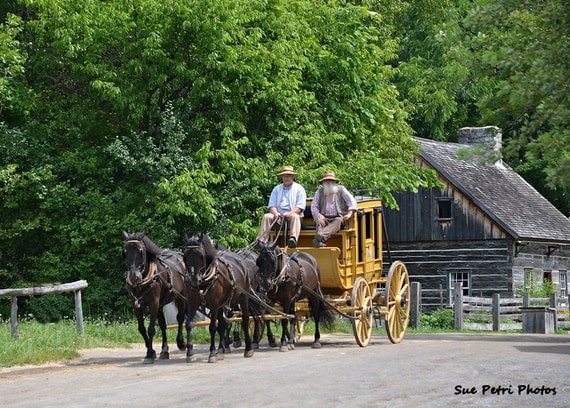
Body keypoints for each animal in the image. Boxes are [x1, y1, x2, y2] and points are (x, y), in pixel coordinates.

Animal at [121, 230, 189, 364]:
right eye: (125, 252)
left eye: (141, 251)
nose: (134, 277)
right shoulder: (137, 304)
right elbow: (142, 328)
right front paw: (151, 351)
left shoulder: (154, 303)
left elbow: (151, 329)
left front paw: (148, 355)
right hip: (161, 304)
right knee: (163, 324)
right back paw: (164, 350)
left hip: (180, 297)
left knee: (180, 318)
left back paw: (181, 343)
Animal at [182, 231, 253, 362]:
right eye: (185, 257)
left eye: (201, 256)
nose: (194, 281)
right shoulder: (192, 303)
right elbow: (188, 324)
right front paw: (190, 353)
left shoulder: (214, 305)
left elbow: (212, 328)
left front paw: (212, 354)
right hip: (222, 305)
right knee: (223, 325)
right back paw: (220, 350)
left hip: (243, 298)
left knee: (245, 320)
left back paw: (249, 349)